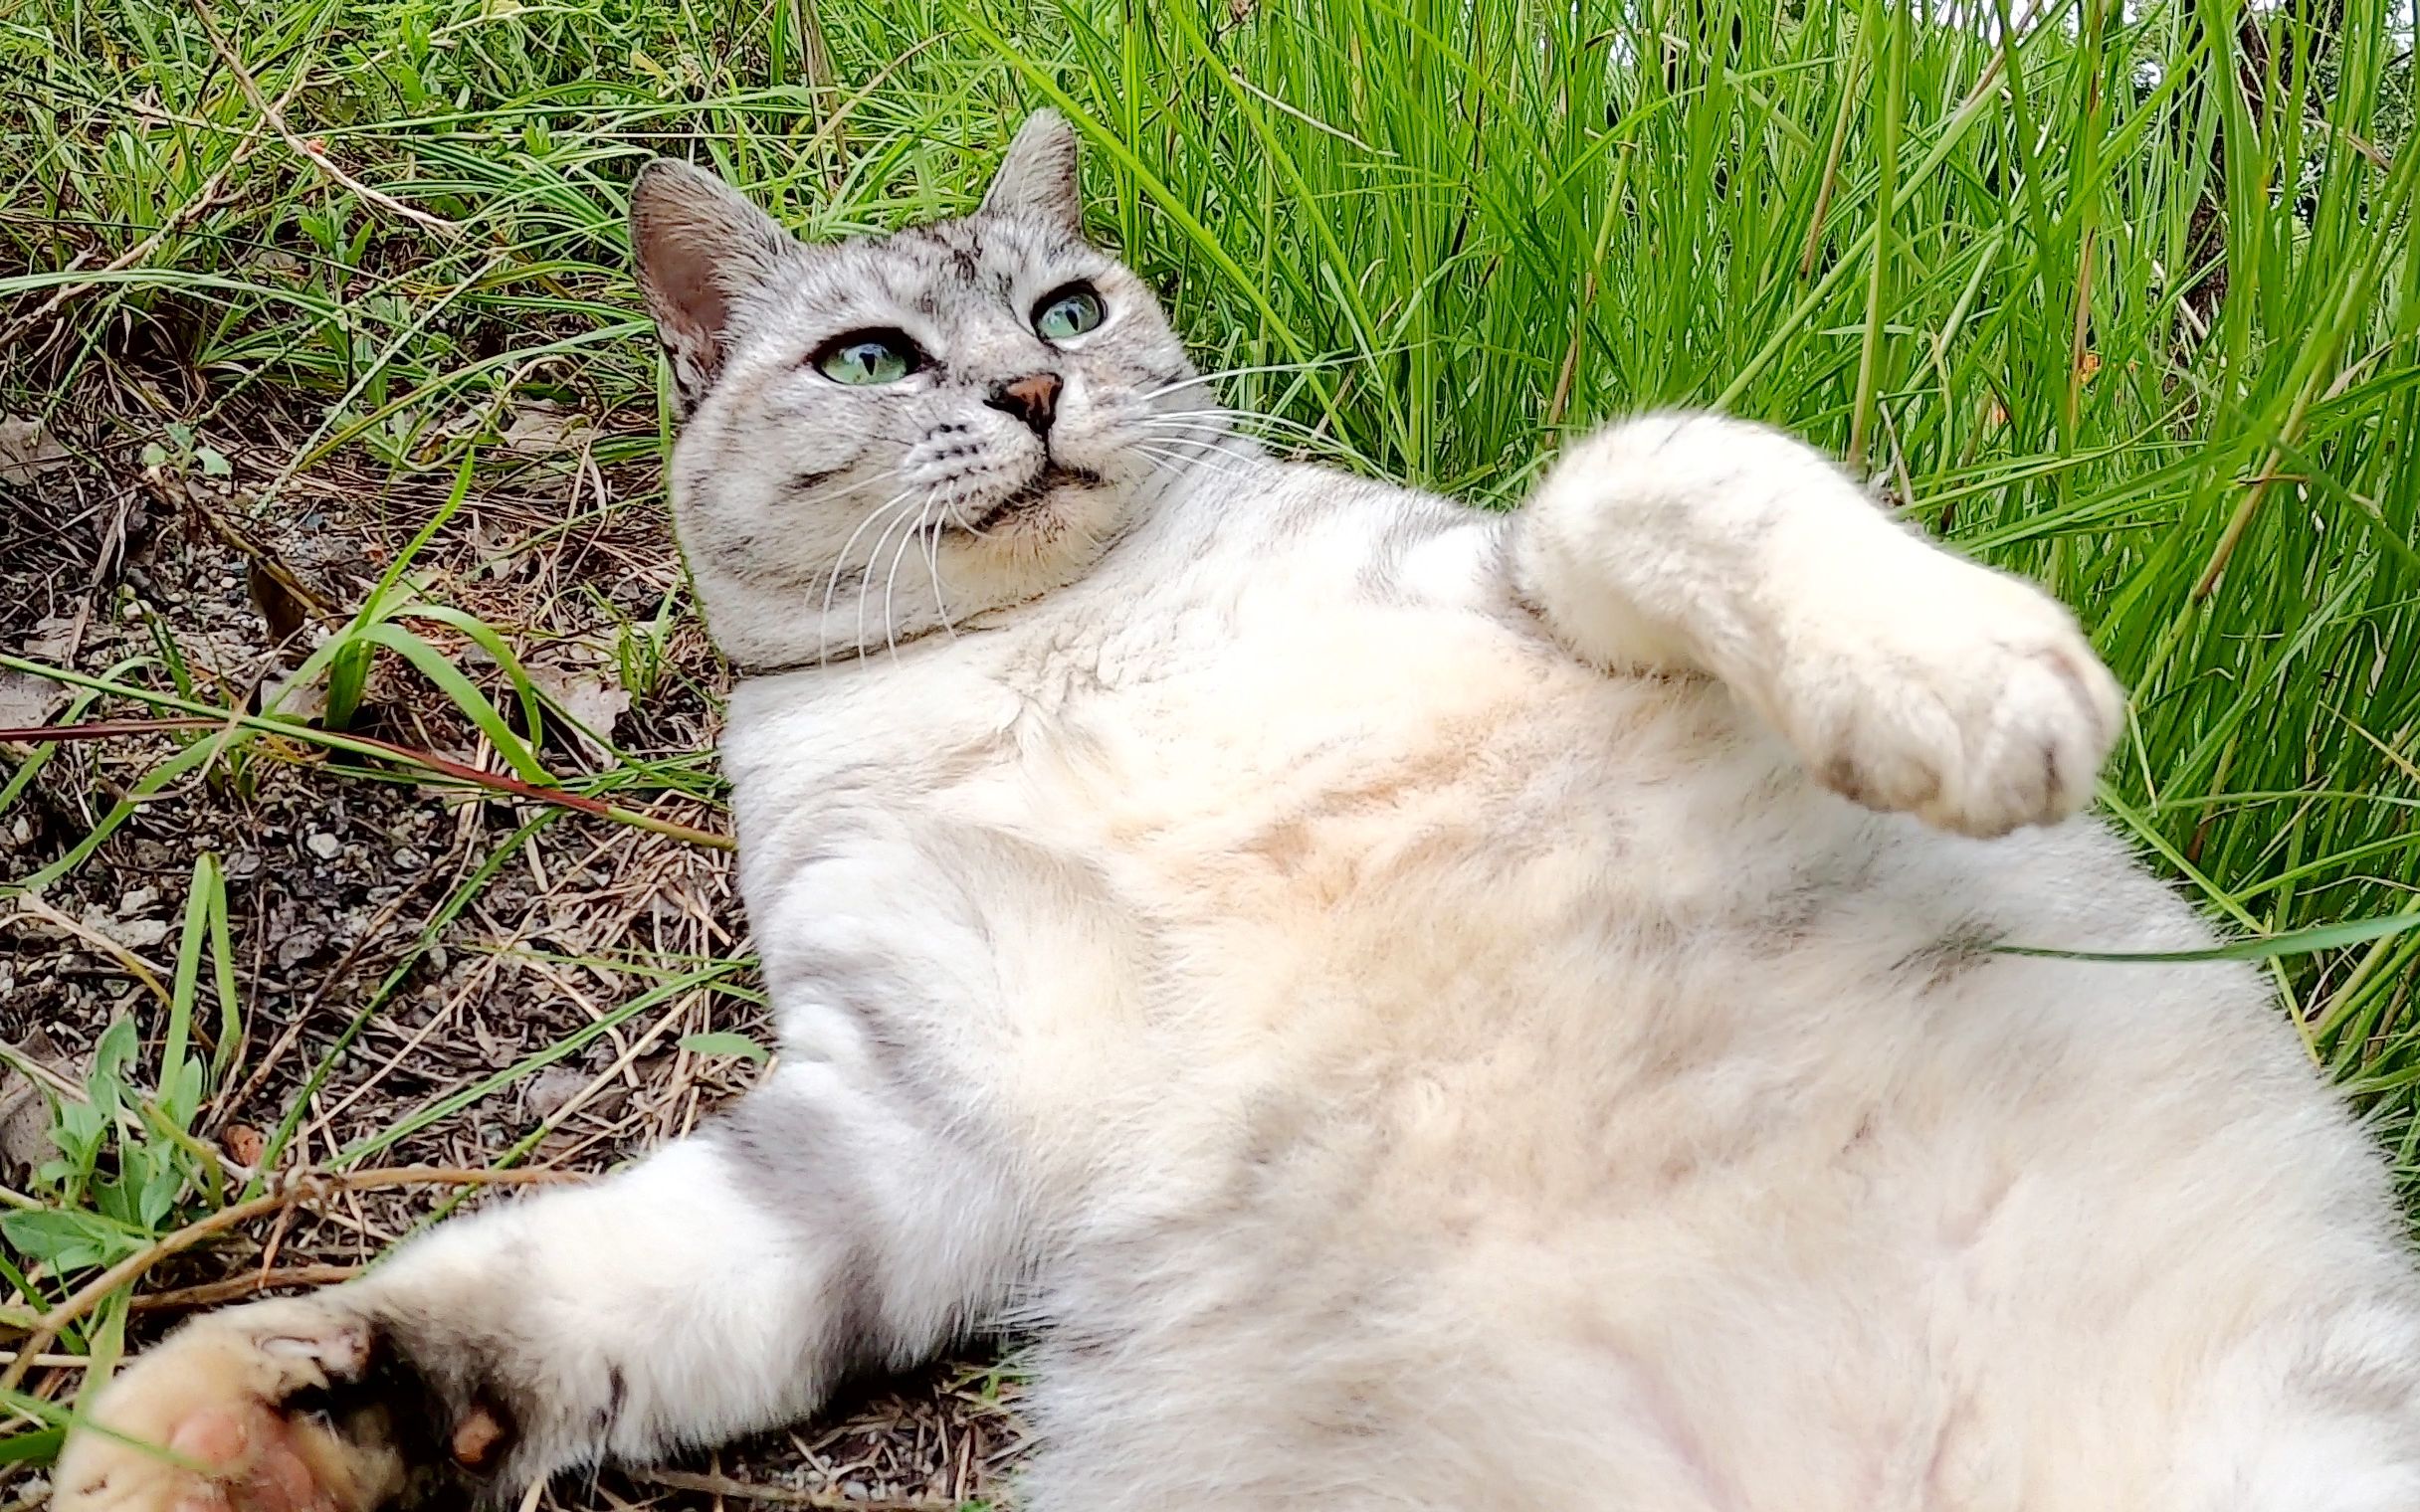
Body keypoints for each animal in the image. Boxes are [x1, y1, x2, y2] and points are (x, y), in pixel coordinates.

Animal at [52, 108, 2420, 1509]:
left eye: (1069, 304)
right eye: (870, 360)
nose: (1030, 387)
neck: (1043, 651)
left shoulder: (1522, 562)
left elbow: (1664, 460)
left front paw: (1967, 683)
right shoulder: (916, 1111)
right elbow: (586, 1285)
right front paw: (242, 1422)